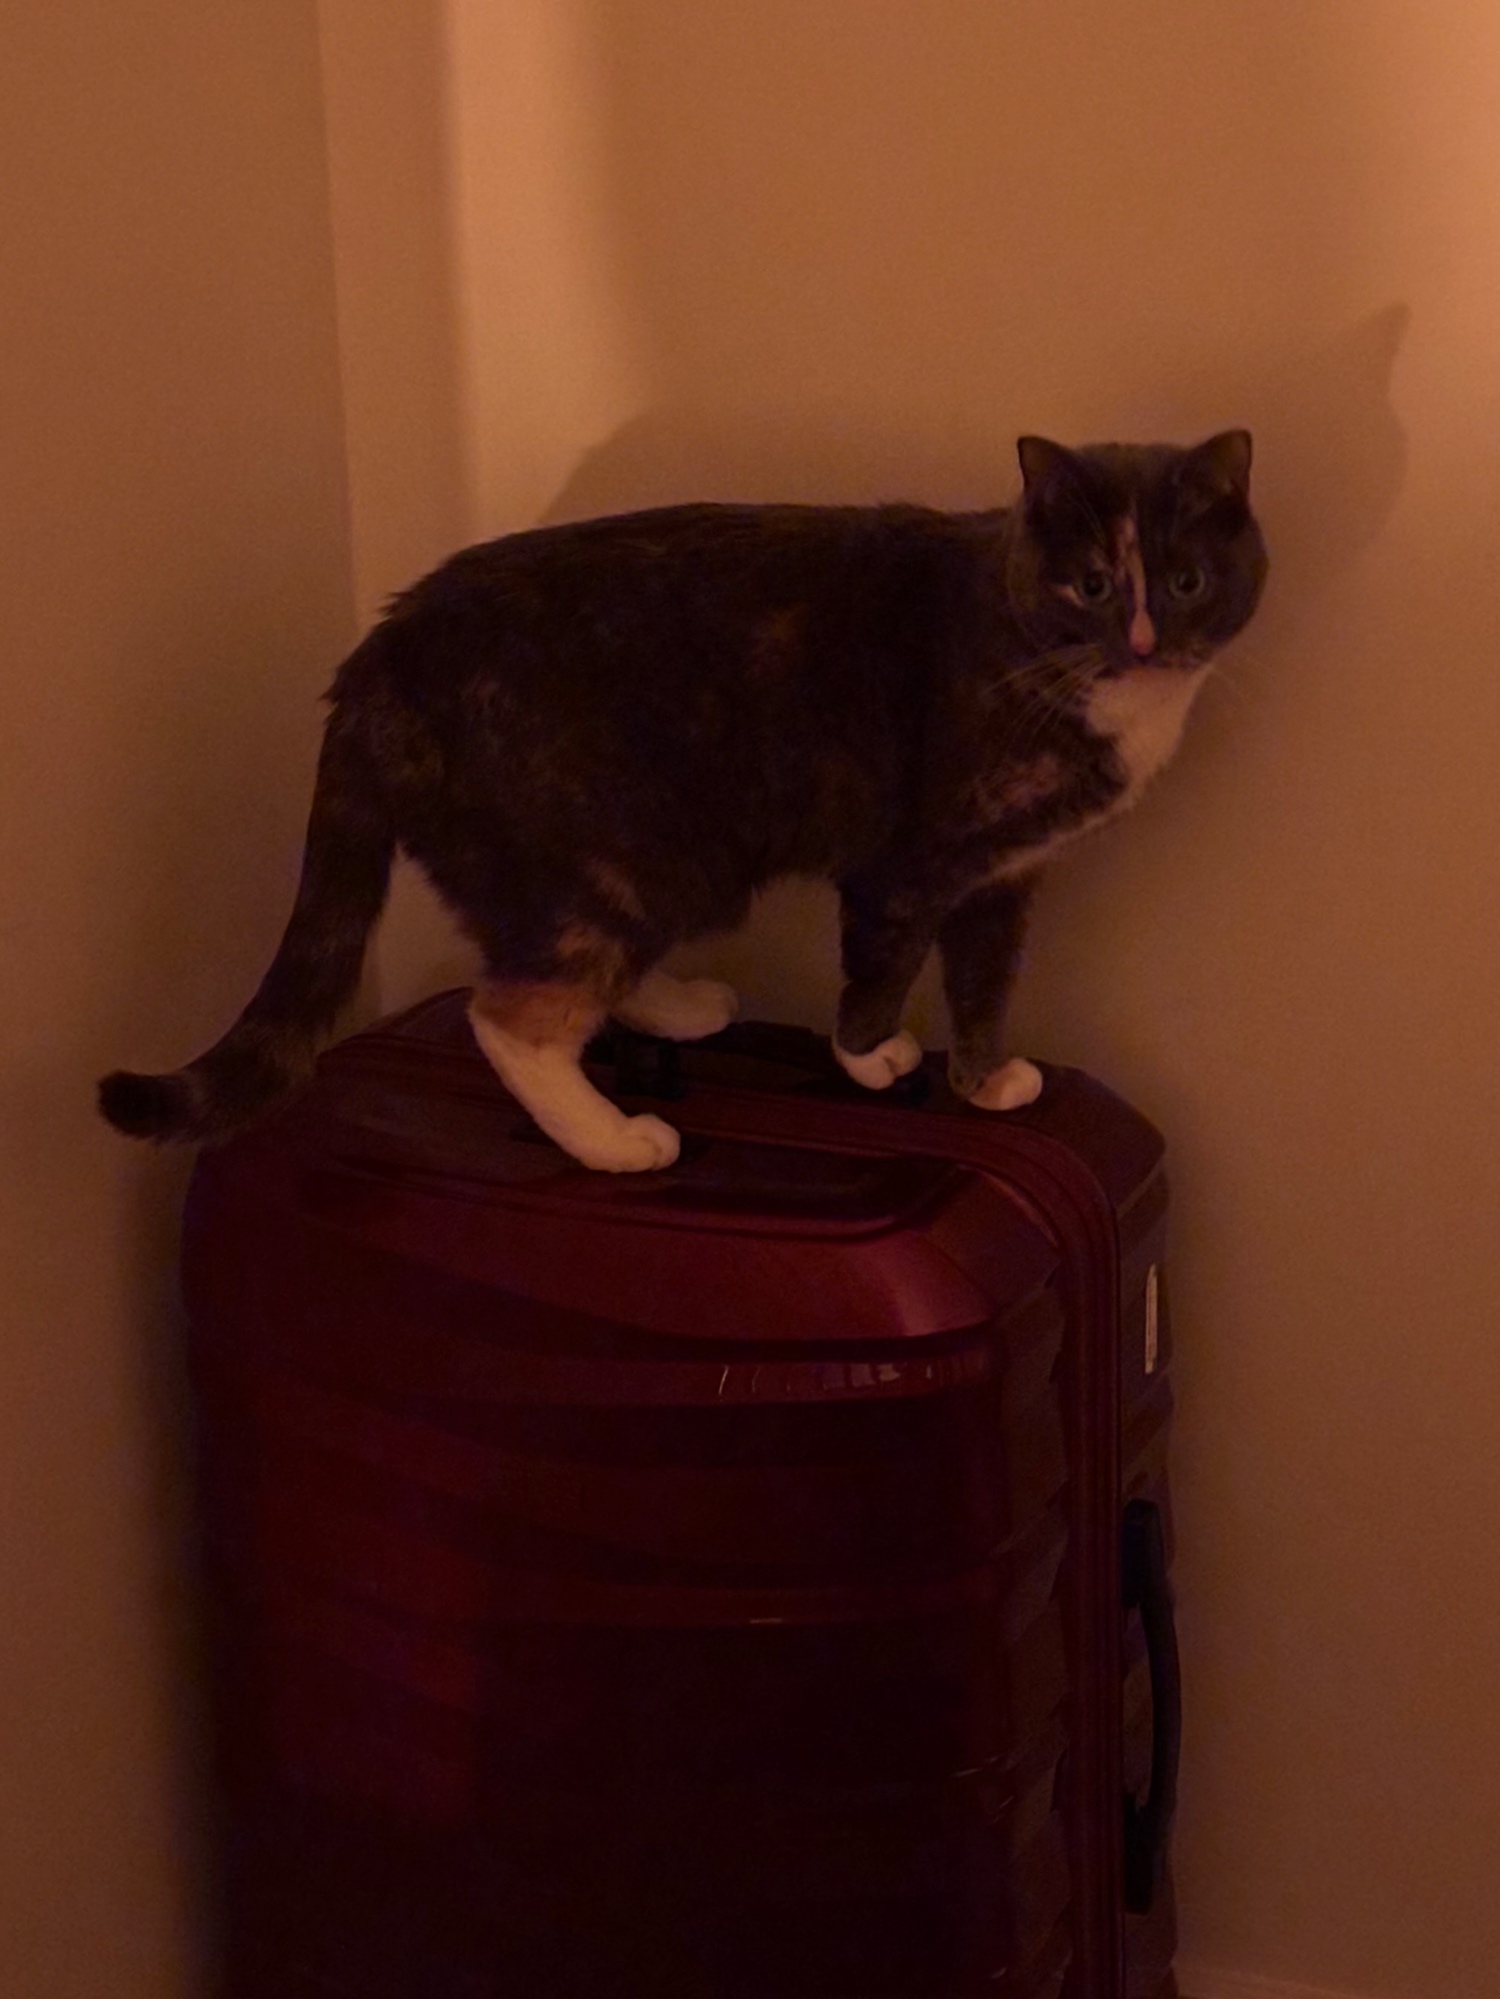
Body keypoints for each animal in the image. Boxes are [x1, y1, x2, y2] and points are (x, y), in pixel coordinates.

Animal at [99, 430, 1267, 1172]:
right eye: (1091, 584)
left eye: (1188, 582)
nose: (1144, 638)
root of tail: (375, 660)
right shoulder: (908, 866)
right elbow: (881, 972)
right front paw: (876, 1062)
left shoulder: (1002, 879)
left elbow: (984, 986)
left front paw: (984, 1081)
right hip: (611, 858)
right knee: (511, 1013)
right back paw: (617, 1141)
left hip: (650, 869)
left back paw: (678, 1007)